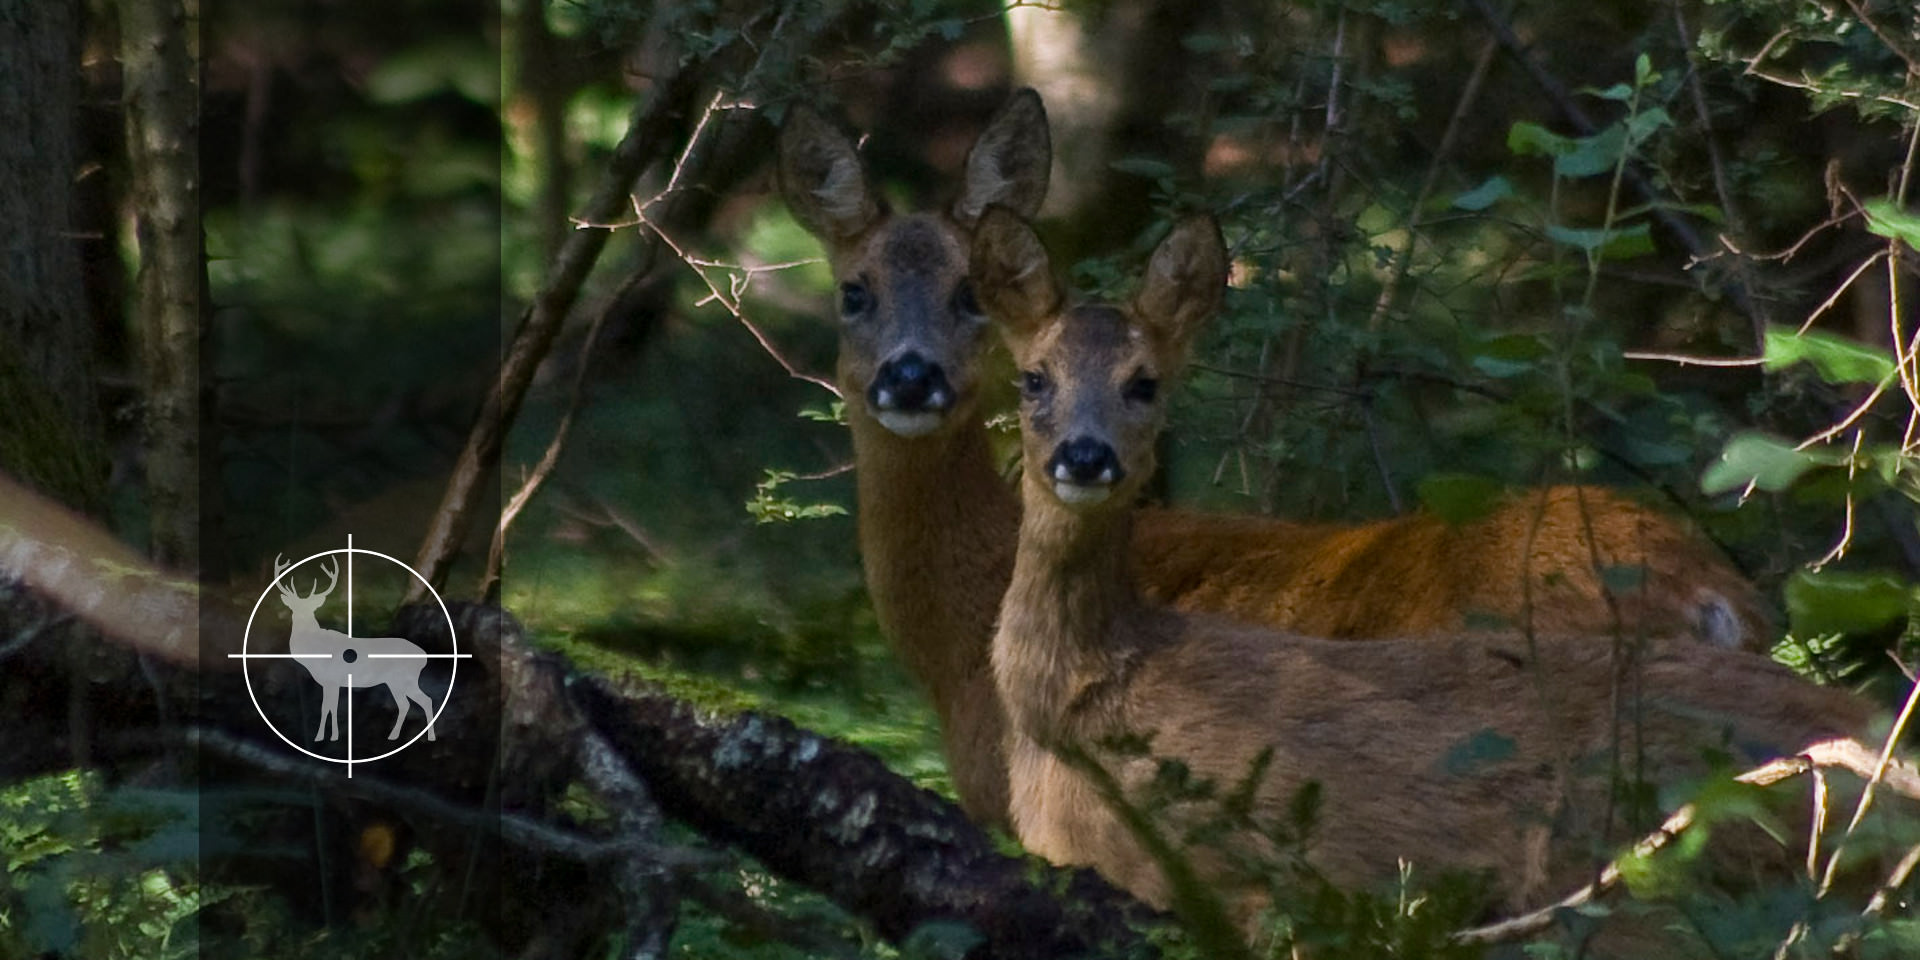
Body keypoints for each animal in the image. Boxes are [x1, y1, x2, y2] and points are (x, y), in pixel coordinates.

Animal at [275, 554, 438, 743]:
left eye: (311, 608)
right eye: (294, 607)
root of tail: (423, 656)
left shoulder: (332, 679)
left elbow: (328, 708)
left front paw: (327, 736)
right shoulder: (330, 682)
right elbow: (329, 707)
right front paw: (327, 736)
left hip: (402, 678)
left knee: (422, 700)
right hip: (397, 681)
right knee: (409, 703)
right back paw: (395, 736)